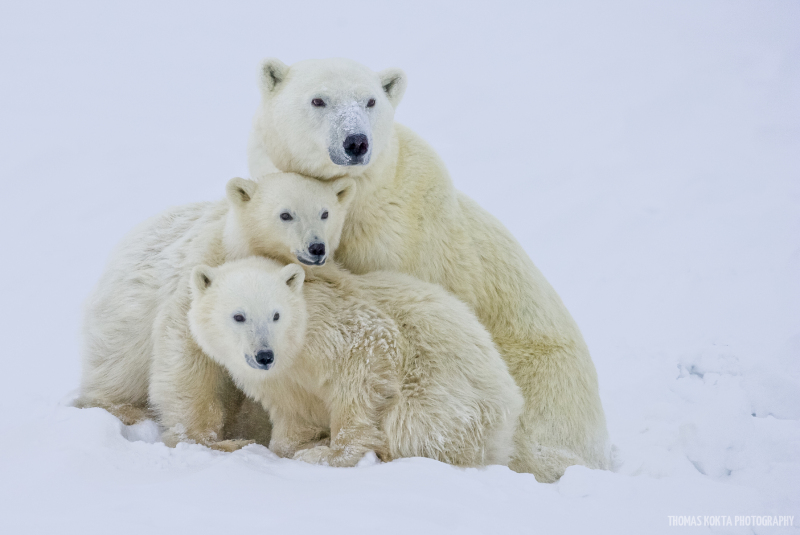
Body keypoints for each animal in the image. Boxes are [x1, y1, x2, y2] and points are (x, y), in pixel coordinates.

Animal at [247, 57, 608, 482]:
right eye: (318, 99)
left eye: (370, 100)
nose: (356, 142)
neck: (361, 203)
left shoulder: (403, 242)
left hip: (544, 381)